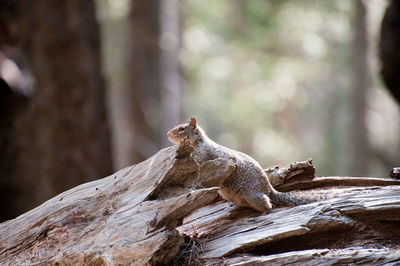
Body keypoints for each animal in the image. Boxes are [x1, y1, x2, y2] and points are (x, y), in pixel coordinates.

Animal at [167, 117, 326, 213]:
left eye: (181, 129)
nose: (167, 133)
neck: (198, 143)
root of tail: (268, 189)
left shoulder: (203, 157)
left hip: (252, 195)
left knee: (268, 204)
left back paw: (264, 211)